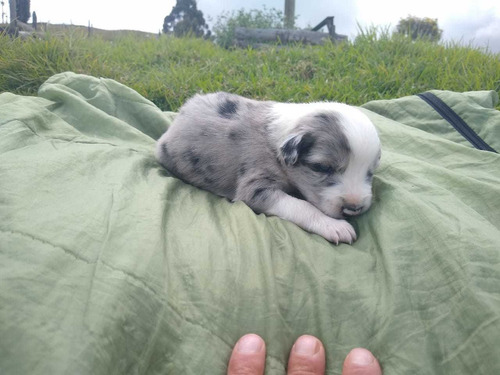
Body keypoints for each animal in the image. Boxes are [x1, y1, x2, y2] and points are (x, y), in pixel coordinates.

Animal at [154, 92, 380, 245]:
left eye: (370, 172)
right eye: (322, 167)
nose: (354, 208)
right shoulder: (254, 187)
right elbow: (301, 206)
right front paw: (334, 226)